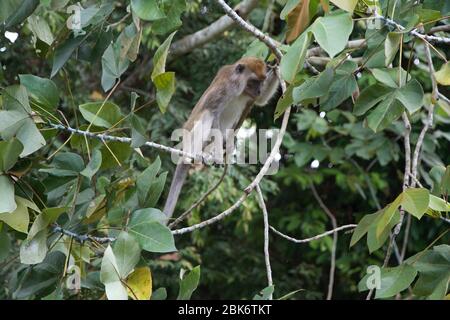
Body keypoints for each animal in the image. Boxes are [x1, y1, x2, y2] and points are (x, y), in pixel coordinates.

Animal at [163, 56, 280, 219]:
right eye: (254, 81)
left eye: (261, 82)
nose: (258, 90)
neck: (240, 89)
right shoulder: (225, 89)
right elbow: (214, 113)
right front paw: (218, 155)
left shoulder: (250, 96)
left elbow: (262, 99)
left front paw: (277, 65)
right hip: (189, 138)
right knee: (207, 114)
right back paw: (196, 154)